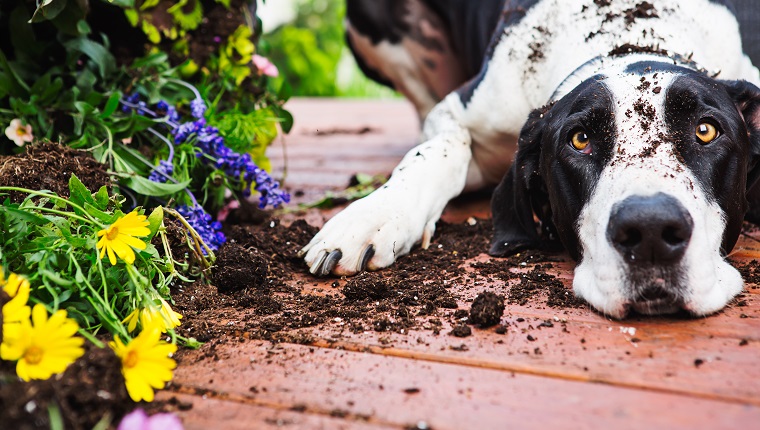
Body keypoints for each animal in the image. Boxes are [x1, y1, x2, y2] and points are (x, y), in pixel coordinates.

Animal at [298, 0, 760, 320]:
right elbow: (440, 150)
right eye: (580, 140)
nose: (650, 232)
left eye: (706, 131)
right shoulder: (458, 112)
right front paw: (374, 216)